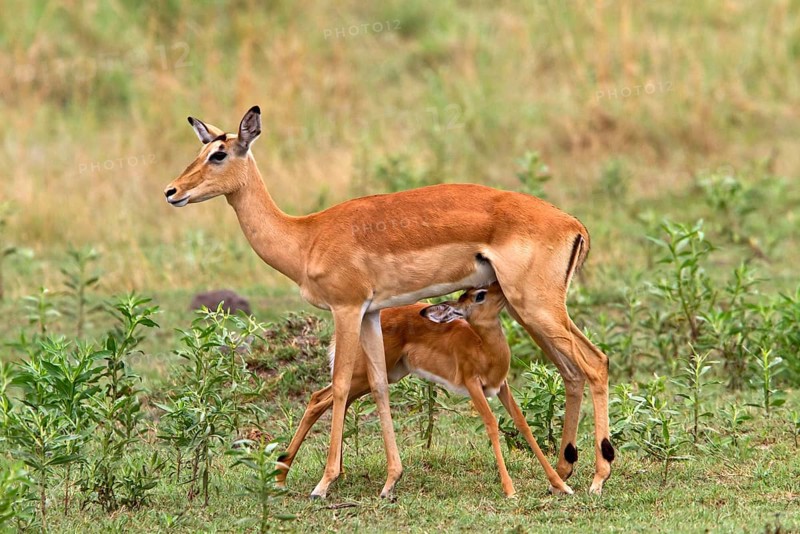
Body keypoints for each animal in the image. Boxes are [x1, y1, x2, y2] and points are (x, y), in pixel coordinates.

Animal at [276, 283, 574, 497]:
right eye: (479, 295)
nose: (502, 286)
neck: (485, 349)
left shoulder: (501, 387)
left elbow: (522, 424)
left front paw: (560, 484)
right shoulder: (473, 386)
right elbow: (491, 423)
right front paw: (510, 490)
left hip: (376, 378)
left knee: (330, 400)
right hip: (362, 376)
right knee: (319, 399)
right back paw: (296, 479)